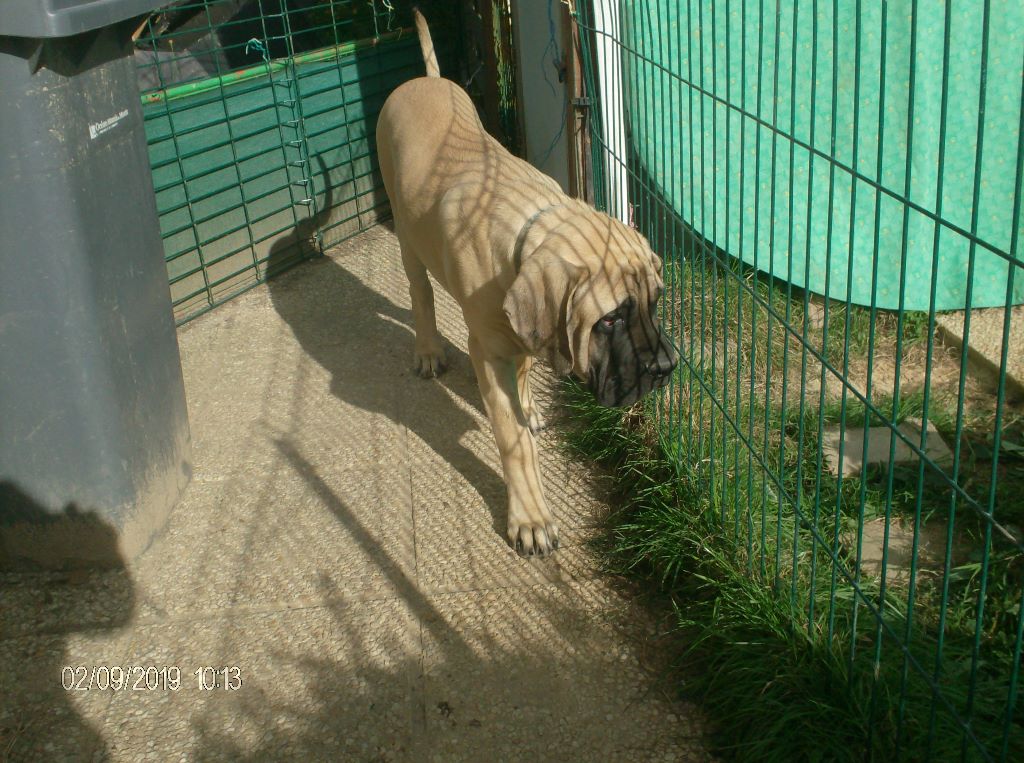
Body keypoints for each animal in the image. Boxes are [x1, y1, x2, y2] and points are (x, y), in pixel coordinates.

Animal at [375, 10, 678, 557]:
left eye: (655, 302)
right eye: (610, 319)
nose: (667, 368)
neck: (527, 230)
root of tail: (424, 80)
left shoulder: (519, 328)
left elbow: (524, 367)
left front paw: (530, 405)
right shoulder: (489, 349)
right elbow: (513, 440)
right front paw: (530, 517)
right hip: (406, 232)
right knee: (419, 293)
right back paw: (428, 349)